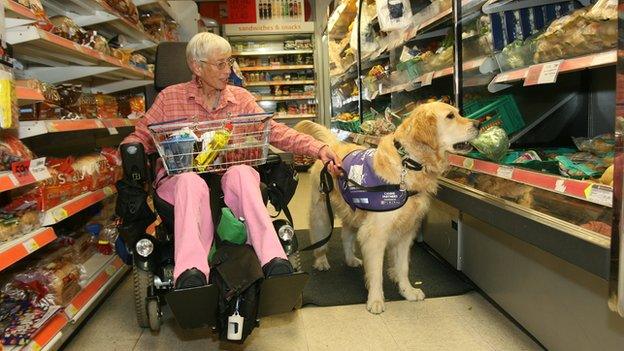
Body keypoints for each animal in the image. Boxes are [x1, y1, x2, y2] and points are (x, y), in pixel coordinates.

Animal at [294, 101, 480, 314]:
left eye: (458, 112)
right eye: (450, 116)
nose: (479, 124)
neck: (408, 163)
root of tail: (333, 146)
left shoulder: (406, 232)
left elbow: (403, 267)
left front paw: (407, 290)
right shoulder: (375, 234)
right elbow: (376, 272)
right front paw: (375, 299)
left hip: (353, 212)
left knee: (346, 235)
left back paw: (351, 259)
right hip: (321, 213)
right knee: (320, 238)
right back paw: (321, 260)